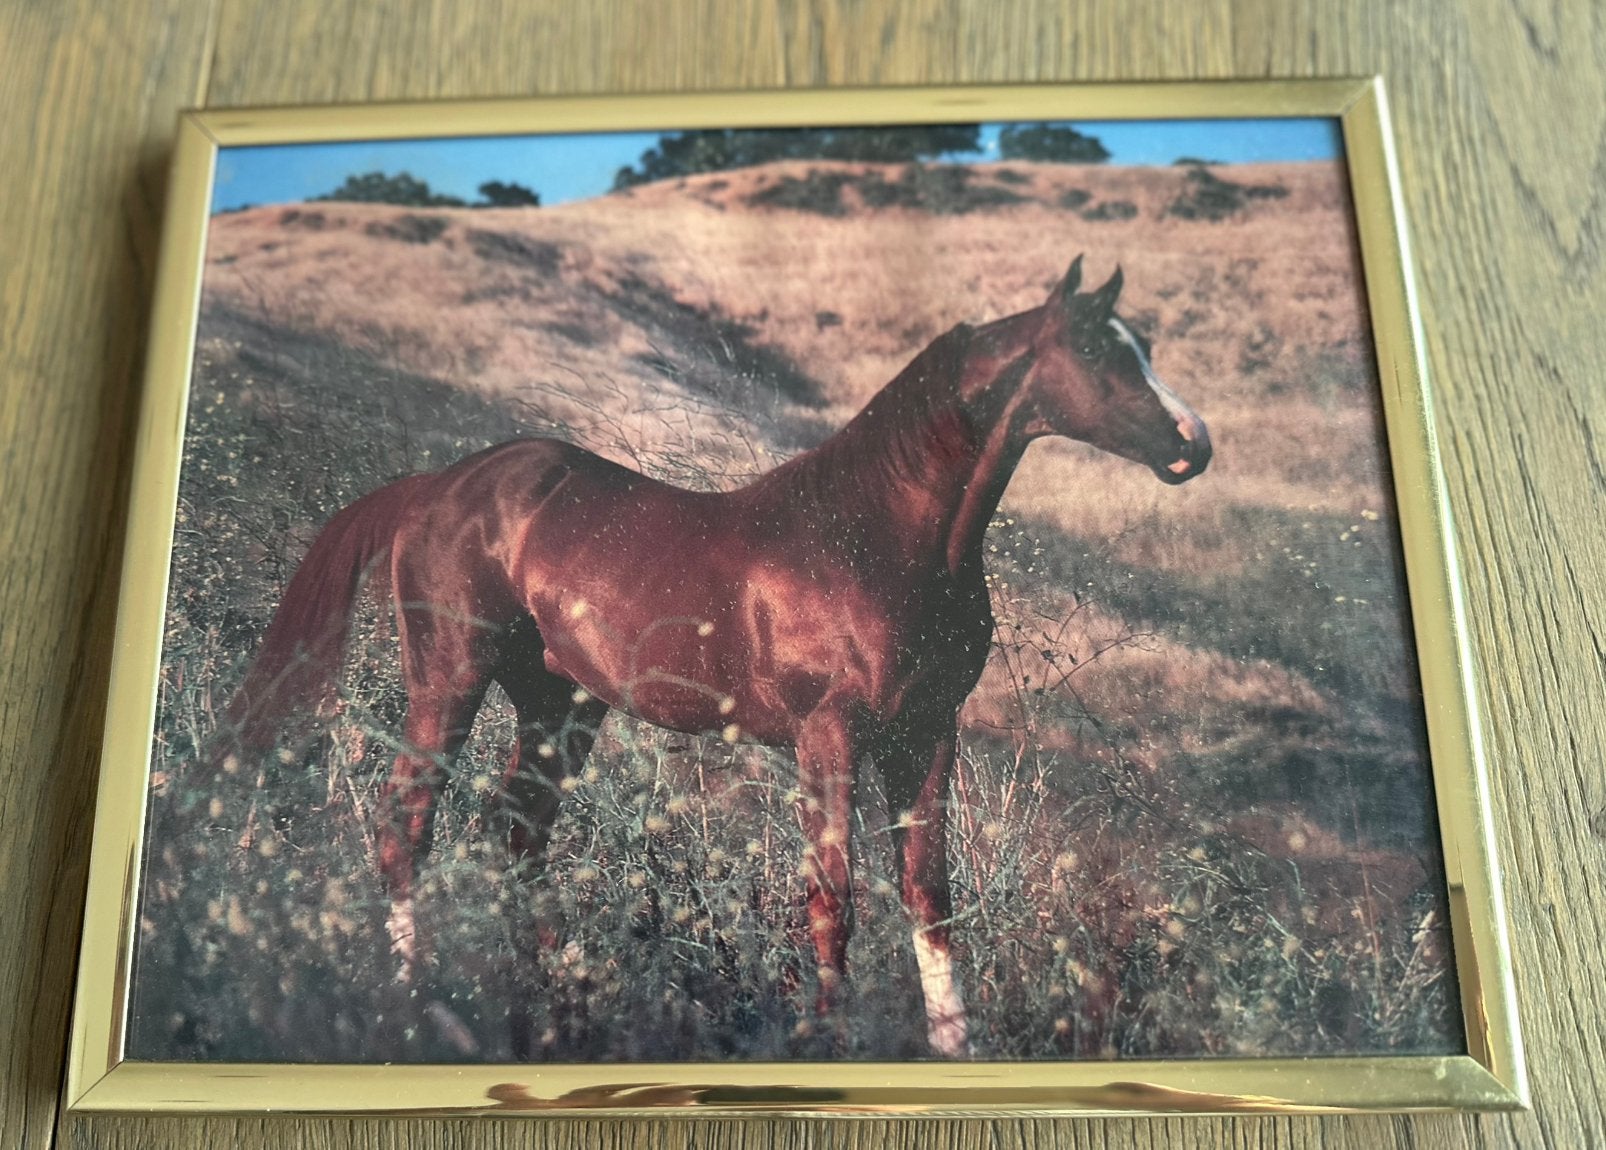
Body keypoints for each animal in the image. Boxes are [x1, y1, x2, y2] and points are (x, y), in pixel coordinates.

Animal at [219, 256, 1210, 1059]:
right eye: (1100, 350)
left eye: (1147, 344)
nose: (1193, 444)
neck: (875, 535)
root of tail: (438, 486)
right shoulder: (829, 735)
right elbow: (832, 901)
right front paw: (827, 1043)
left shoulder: (928, 731)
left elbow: (930, 897)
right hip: (449, 680)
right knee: (408, 828)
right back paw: (418, 1009)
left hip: (559, 705)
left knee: (519, 838)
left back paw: (542, 1011)